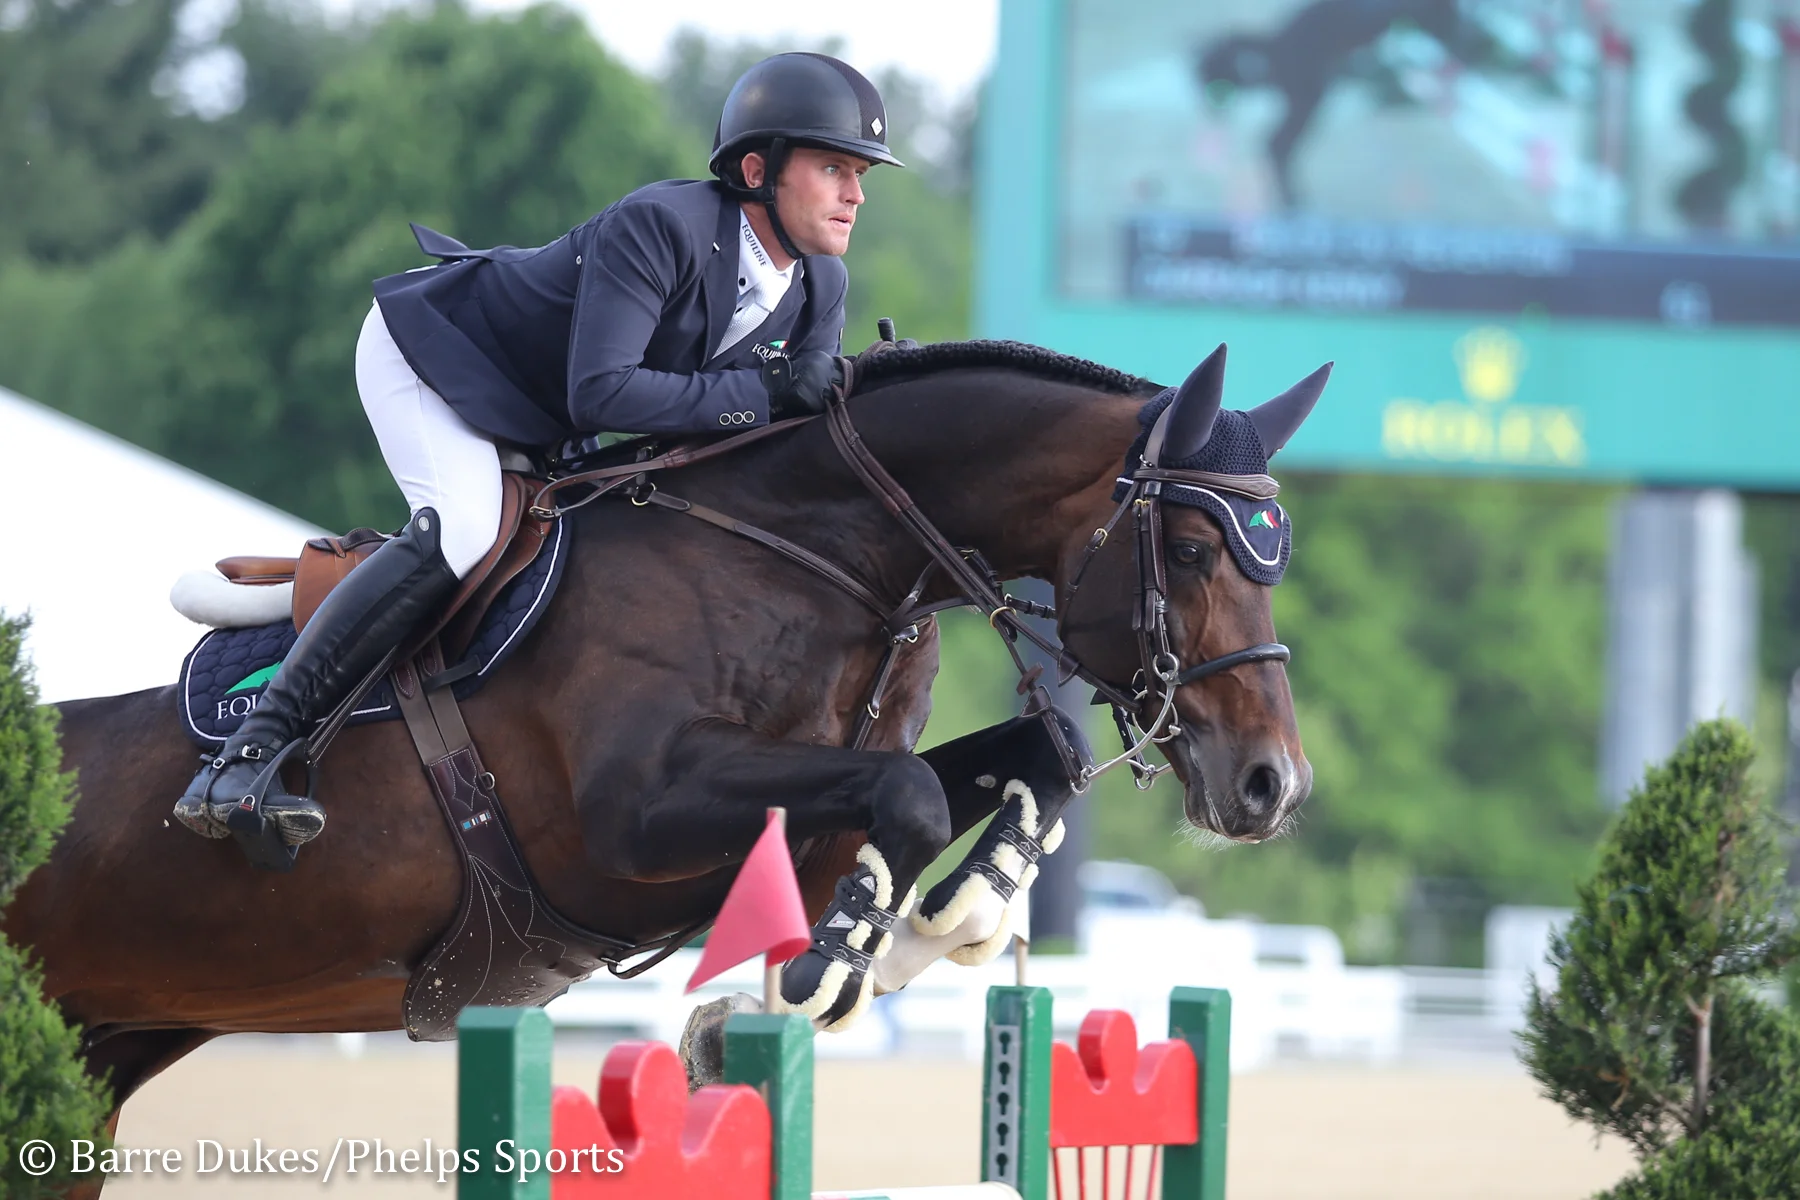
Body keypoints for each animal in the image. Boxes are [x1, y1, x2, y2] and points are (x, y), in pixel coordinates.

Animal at [2, 339, 1322, 1175]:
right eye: (1193, 551)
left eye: (1276, 559)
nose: (1270, 787)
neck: (817, 546)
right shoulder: (632, 822)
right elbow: (902, 800)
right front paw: (817, 976)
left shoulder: (794, 811)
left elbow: (1016, 768)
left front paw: (935, 927)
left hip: (94, 1066)